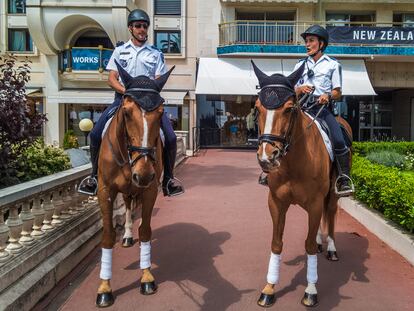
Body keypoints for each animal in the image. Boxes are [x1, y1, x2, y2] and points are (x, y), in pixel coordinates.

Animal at [95, 62, 175, 308]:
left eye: (161, 113)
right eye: (127, 112)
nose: (144, 173)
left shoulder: (150, 190)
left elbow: (146, 230)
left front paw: (147, 277)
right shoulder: (105, 191)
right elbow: (107, 236)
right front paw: (105, 288)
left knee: (131, 206)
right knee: (128, 207)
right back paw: (127, 236)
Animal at [251, 61, 350, 310]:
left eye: (289, 109)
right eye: (257, 108)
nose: (267, 156)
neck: (294, 161)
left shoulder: (314, 203)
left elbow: (309, 246)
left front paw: (310, 291)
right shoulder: (276, 202)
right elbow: (277, 243)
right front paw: (269, 289)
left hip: (332, 194)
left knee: (330, 214)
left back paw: (331, 248)